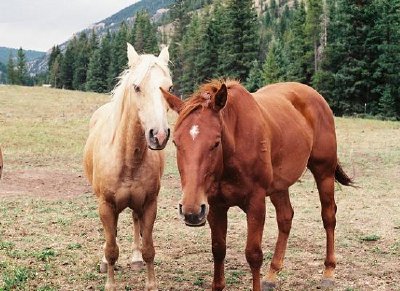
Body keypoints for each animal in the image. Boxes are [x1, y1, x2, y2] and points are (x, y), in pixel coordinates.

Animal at [83, 44, 173, 291]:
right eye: (137, 87)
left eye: (170, 87)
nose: (159, 135)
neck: (128, 159)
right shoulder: (106, 205)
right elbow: (111, 249)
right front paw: (110, 283)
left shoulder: (150, 204)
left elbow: (149, 248)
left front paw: (151, 284)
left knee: (134, 221)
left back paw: (135, 259)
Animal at [161, 80, 352, 291]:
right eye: (176, 142)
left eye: (216, 143)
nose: (191, 211)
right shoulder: (214, 206)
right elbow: (218, 249)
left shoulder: (256, 203)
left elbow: (253, 254)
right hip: (279, 186)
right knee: (285, 218)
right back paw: (272, 274)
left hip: (324, 172)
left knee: (328, 216)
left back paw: (328, 271)